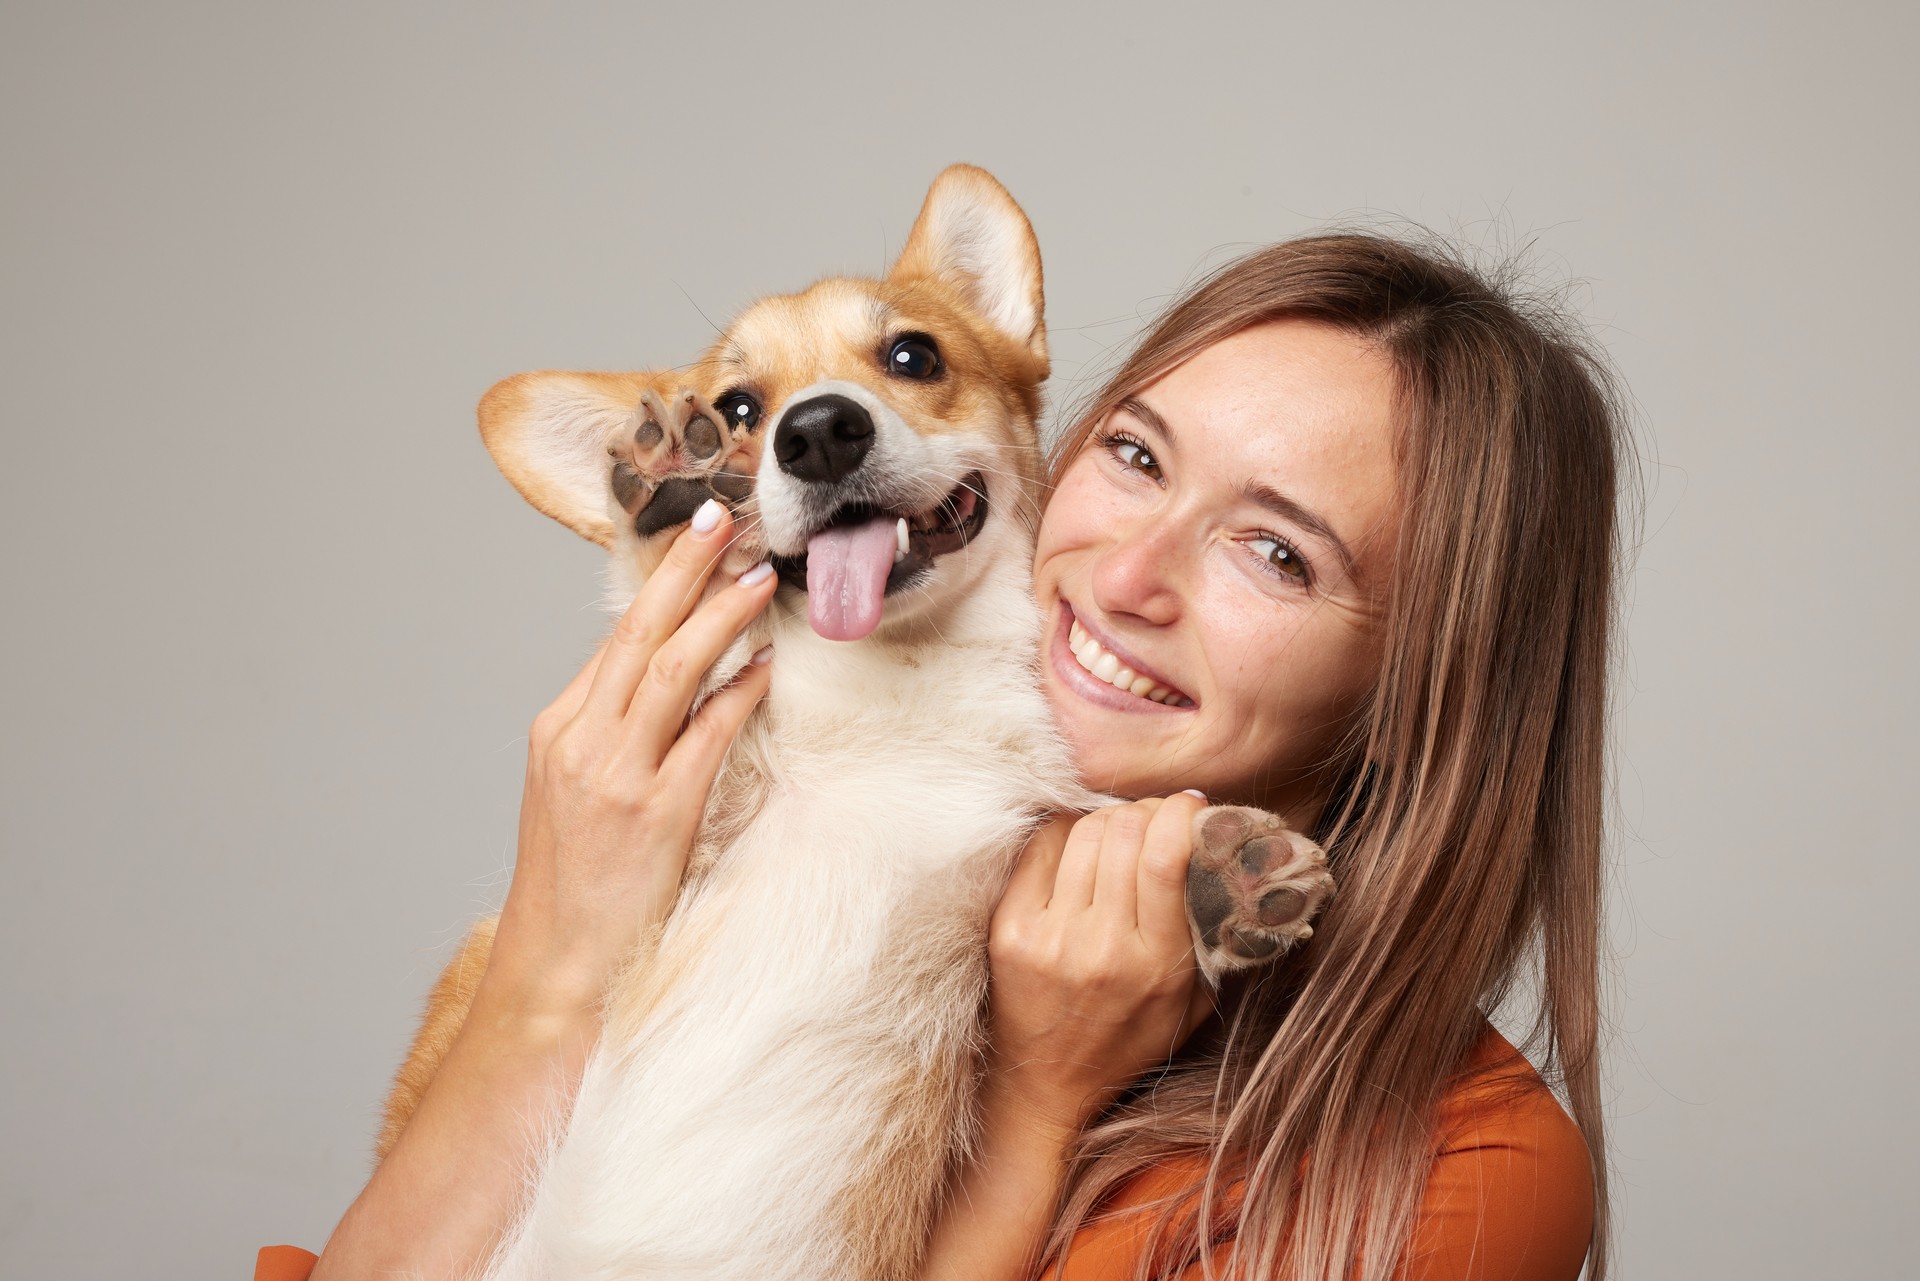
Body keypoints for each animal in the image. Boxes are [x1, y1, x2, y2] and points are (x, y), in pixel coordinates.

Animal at [380, 165, 1328, 1275]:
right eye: (737, 407)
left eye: (913, 355)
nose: (819, 431)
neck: (901, 685)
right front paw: (671, 501)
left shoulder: (1008, 847)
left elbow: (1084, 828)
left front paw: (1217, 869)